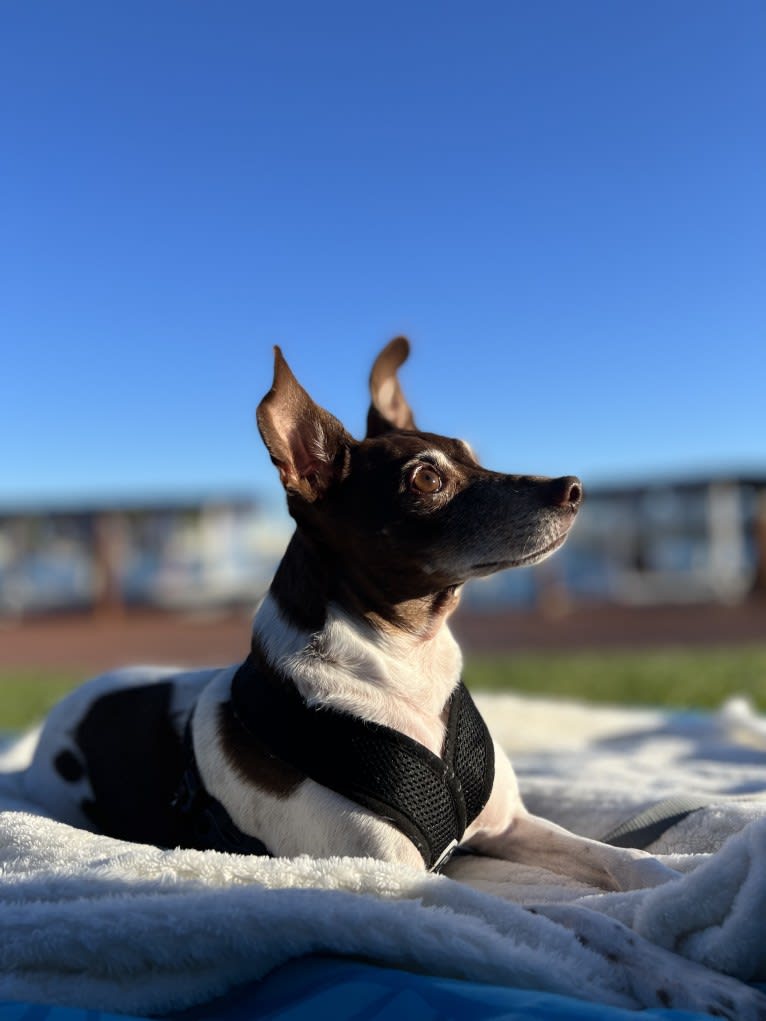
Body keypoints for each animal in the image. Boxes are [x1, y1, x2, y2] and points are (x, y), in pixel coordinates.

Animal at [24, 338, 674, 890]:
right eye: (427, 479)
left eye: (473, 457)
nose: (572, 488)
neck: (408, 663)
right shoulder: (394, 875)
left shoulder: (512, 826)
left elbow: (614, 855)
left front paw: (666, 880)